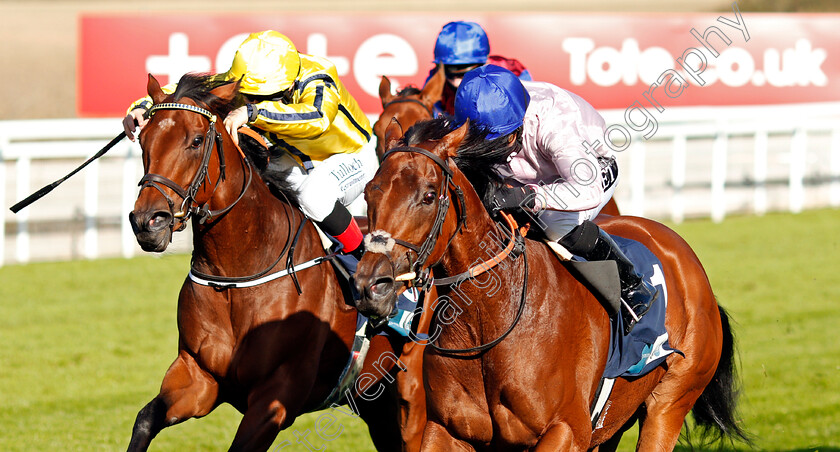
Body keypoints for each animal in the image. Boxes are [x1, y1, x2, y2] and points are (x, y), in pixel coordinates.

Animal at [124, 72, 410, 450]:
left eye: (197, 141)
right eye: (144, 139)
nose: (147, 222)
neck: (235, 274)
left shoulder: (276, 398)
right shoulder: (199, 376)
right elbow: (145, 420)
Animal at [352, 118, 748, 450]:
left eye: (429, 195)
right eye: (370, 192)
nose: (372, 285)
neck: (488, 319)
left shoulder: (566, 430)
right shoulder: (445, 429)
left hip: (669, 403)